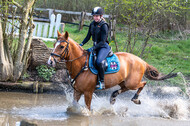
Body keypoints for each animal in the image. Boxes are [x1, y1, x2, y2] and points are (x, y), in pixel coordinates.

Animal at [47, 31, 177, 110]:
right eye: (54, 44)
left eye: (61, 46)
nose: (50, 62)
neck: (81, 64)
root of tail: (142, 61)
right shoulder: (77, 91)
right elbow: (74, 105)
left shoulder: (88, 92)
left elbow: (88, 108)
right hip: (123, 82)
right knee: (123, 88)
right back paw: (113, 96)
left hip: (132, 83)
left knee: (143, 83)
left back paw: (135, 99)